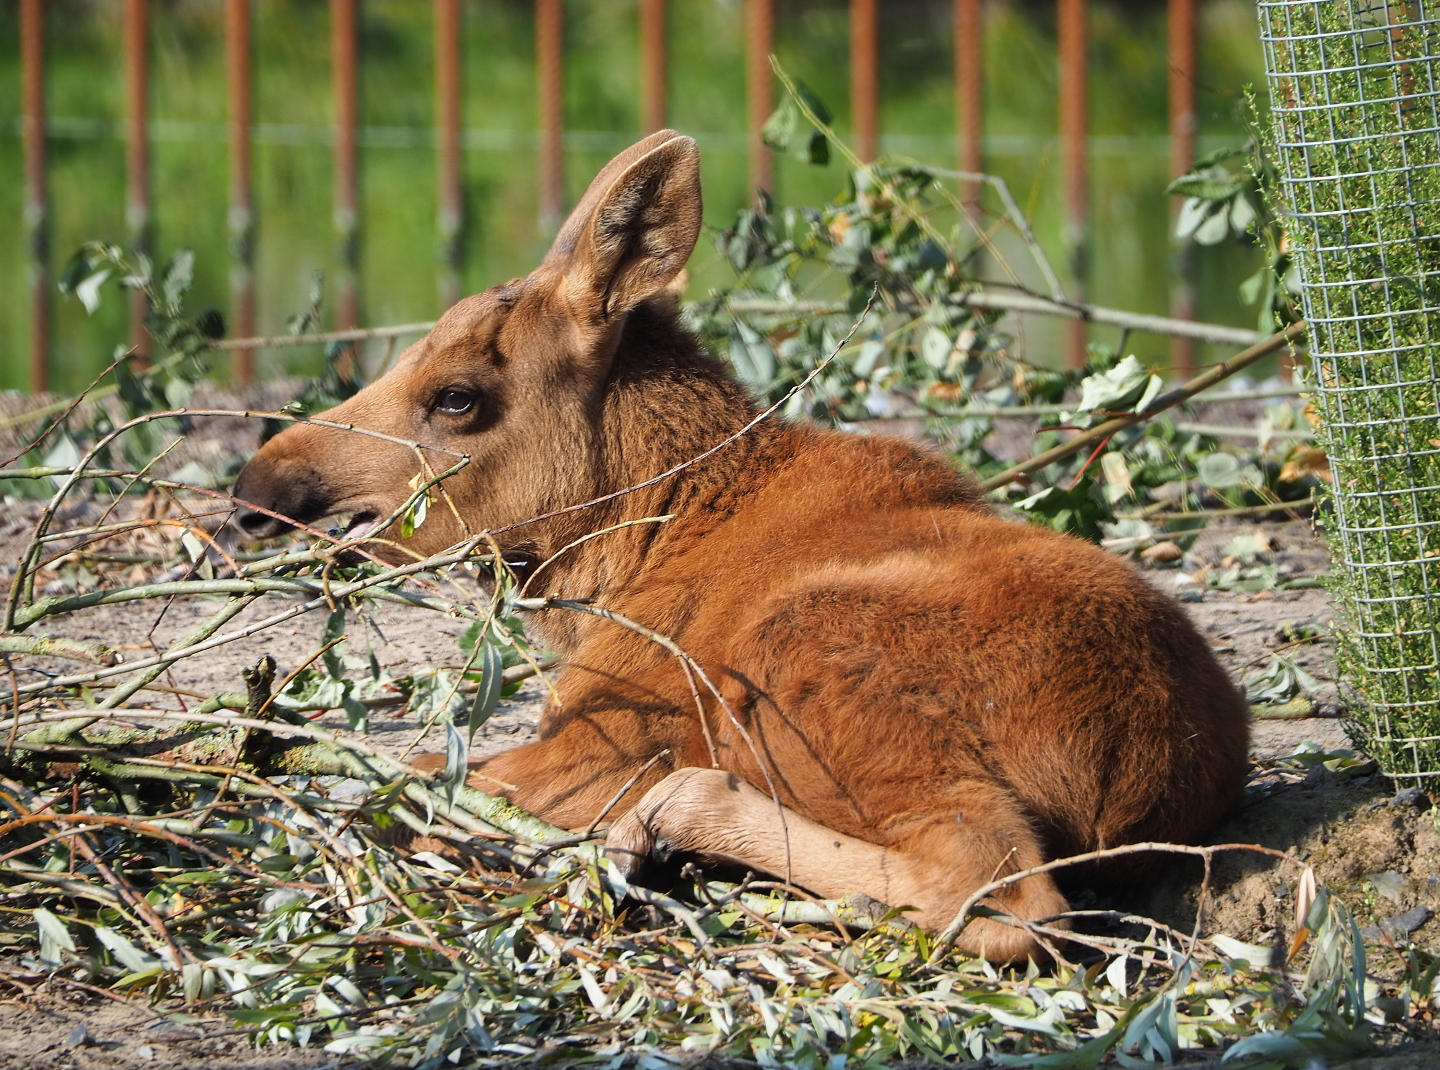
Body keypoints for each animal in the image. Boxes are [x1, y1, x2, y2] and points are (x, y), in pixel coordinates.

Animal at [232, 131, 1251, 962]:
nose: (257, 489)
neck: (627, 547)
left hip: (802, 662)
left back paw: (670, 823)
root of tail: (1148, 763)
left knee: (1000, 895)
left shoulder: (591, 735)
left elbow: (398, 784)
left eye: (455, 397)